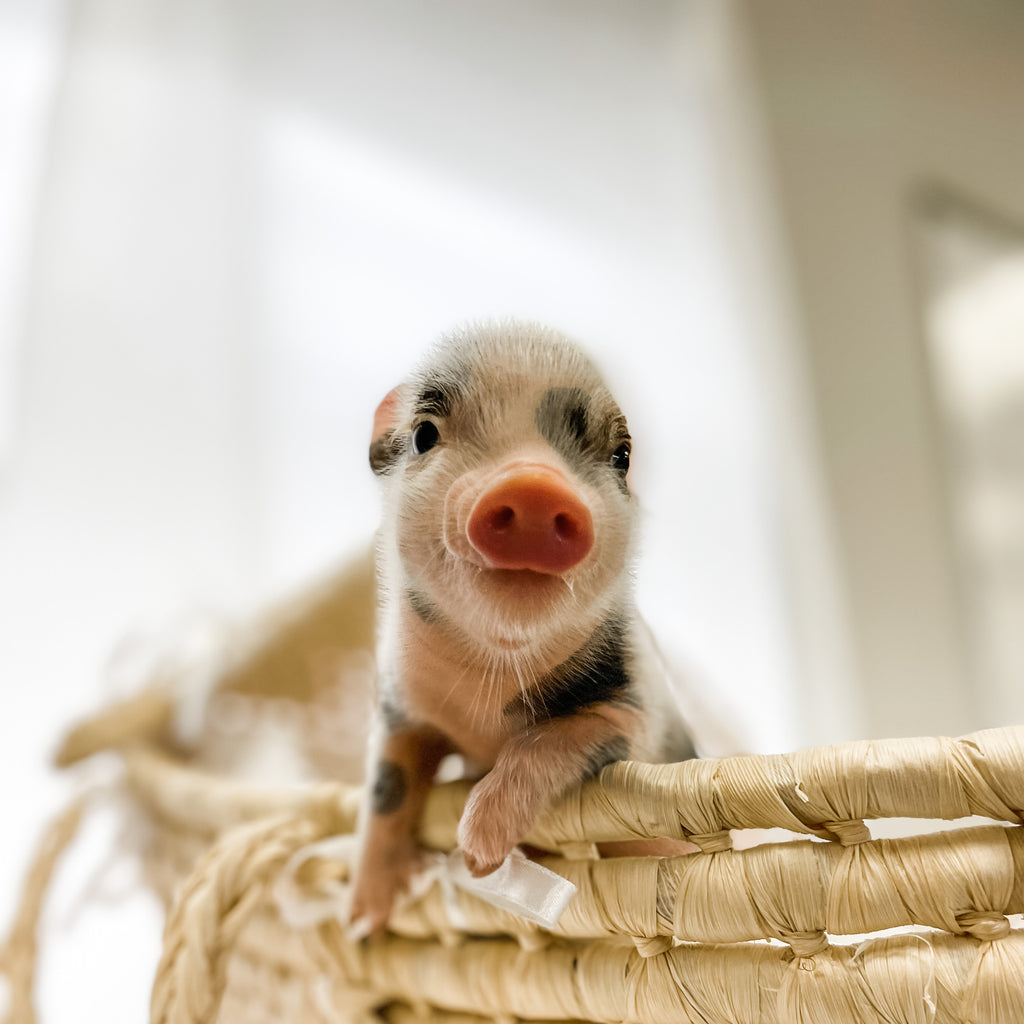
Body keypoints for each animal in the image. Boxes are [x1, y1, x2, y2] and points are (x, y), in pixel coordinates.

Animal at [351, 320, 695, 935]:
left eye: (621, 455)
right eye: (424, 435)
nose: (535, 485)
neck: (488, 690)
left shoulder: (635, 710)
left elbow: (547, 740)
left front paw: (478, 857)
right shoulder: (400, 708)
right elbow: (385, 787)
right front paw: (363, 922)